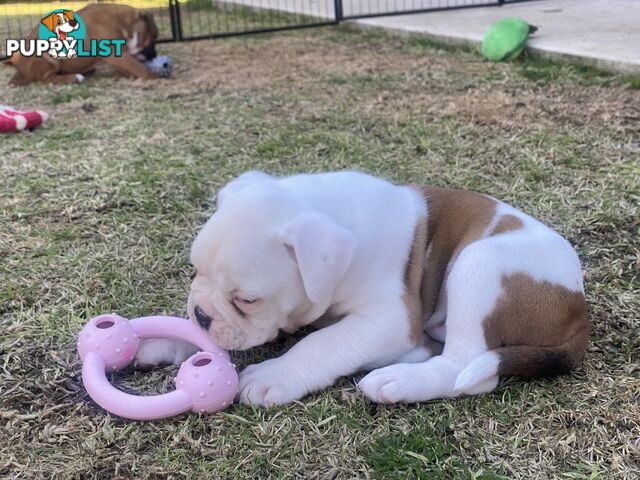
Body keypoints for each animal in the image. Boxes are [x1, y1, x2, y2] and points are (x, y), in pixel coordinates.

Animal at [5, 4, 160, 85]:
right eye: (154, 37)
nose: (154, 55)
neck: (122, 22)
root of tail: (20, 69)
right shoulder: (118, 55)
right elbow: (140, 69)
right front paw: (156, 76)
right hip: (46, 57)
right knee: (47, 79)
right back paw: (74, 77)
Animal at [136, 172, 592, 404]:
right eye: (194, 271)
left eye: (248, 300)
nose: (201, 313)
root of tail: (579, 311)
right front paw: (161, 340)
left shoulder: (388, 318)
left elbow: (323, 343)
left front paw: (275, 373)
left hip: (478, 263)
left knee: (467, 366)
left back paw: (399, 380)